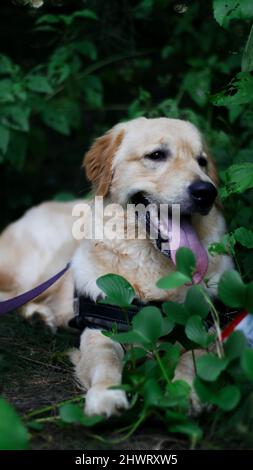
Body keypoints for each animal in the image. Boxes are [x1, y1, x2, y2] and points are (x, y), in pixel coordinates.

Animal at [0, 116, 233, 414]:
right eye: (156, 155)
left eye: (201, 161)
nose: (206, 192)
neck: (152, 267)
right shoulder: (100, 329)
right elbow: (106, 360)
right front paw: (106, 396)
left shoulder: (207, 328)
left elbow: (195, 357)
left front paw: (185, 391)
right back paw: (38, 315)